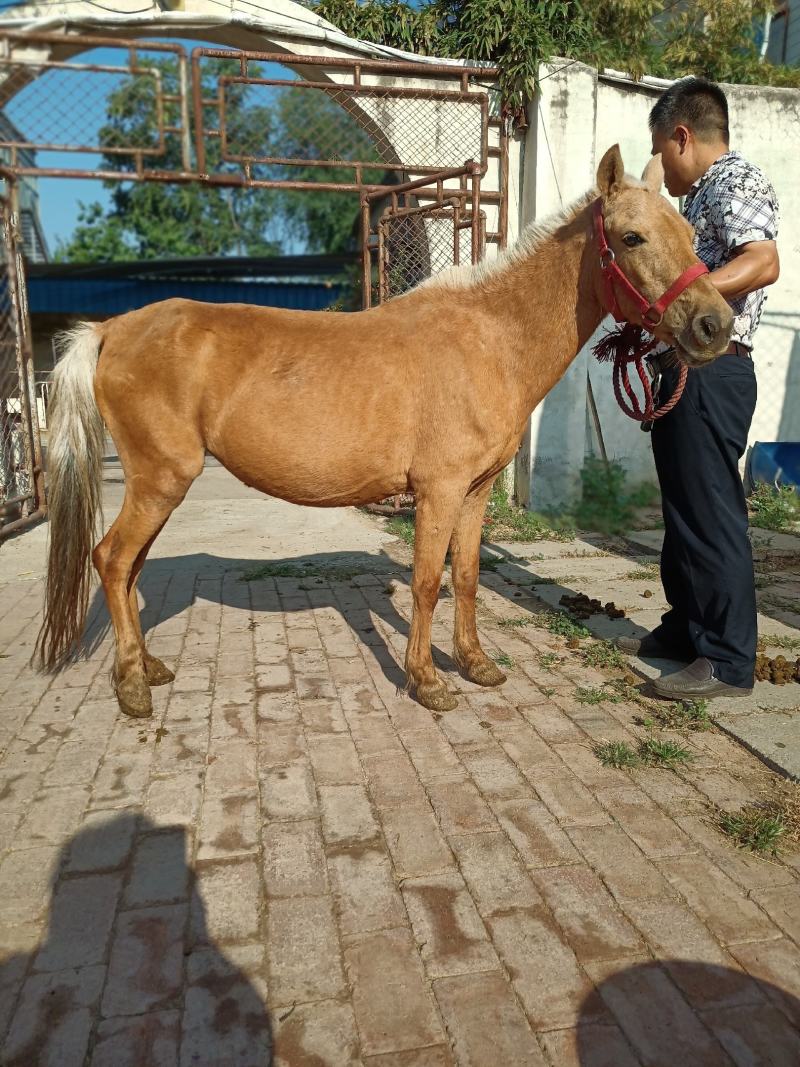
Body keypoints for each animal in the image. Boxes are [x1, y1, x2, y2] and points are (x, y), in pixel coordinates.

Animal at [39, 146, 738, 717]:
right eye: (632, 237)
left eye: (689, 231)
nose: (715, 325)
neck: (489, 339)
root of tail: (112, 329)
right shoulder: (438, 490)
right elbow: (427, 584)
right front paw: (428, 682)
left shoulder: (475, 492)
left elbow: (466, 578)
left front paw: (477, 665)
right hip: (161, 479)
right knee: (112, 560)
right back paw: (132, 685)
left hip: (157, 486)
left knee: (129, 569)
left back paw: (150, 667)